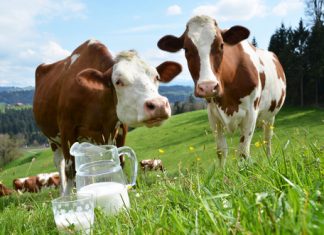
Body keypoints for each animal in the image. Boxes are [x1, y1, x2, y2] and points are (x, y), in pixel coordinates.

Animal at [34, 39, 184, 196]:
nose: (159, 105)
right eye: (118, 81)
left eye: (157, 77)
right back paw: (63, 193)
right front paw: (70, 197)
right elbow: (70, 170)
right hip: (53, 139)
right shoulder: (66, 128)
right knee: (60, 163)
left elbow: (119, 161)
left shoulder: (120, 128)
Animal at [158, 15, 288, 167]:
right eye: (186, 49)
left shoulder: (251, 112)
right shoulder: (213, 115)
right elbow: (221, 150)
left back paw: (269, 159)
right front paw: (222, 172)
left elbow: (243, 152)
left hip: (270, 114)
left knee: (268, 138)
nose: (208, 86)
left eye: (221, 45)